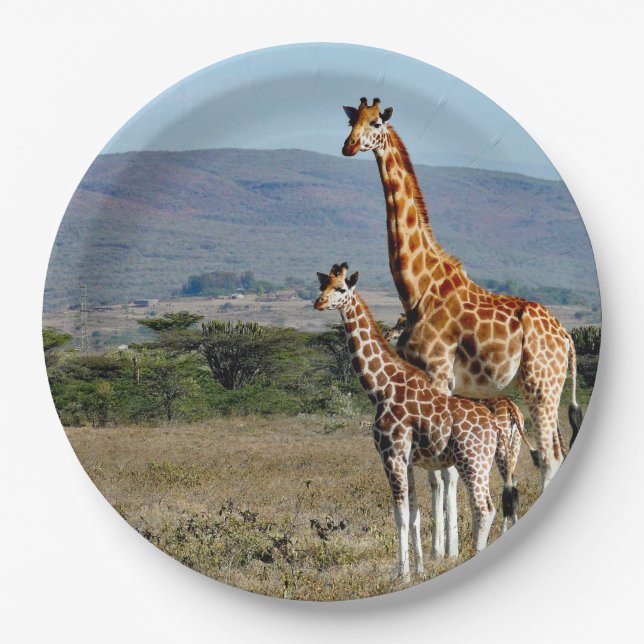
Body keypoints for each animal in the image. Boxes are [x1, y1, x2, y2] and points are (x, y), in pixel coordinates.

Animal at [314, 263, 509, 580]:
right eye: (322, 286)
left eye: (341, 288)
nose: (318, 303)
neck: (381, 388)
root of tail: (493, 425)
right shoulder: (407, 460)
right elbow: (415, 513)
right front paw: (418, 568)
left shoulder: (391, 455)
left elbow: (401, 514)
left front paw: (402, 572)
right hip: (482, 461)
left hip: (472, 460)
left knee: (484, 508)